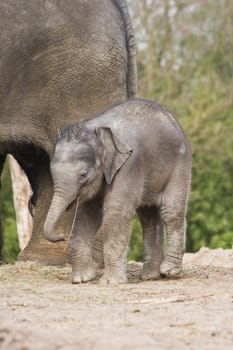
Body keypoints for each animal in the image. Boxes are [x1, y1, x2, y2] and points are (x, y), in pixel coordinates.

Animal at [43, 98, 191, 284]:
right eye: (51, 171)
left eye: (83, 175)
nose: (62, 235)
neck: (96, 129)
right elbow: (88, 215)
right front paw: (81, 279)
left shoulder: (129, 165)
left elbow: (116, 212)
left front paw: (109, 282)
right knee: (148, 217)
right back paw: (150, 276)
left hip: (179, 165)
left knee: (171, 212)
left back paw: (169, 271)